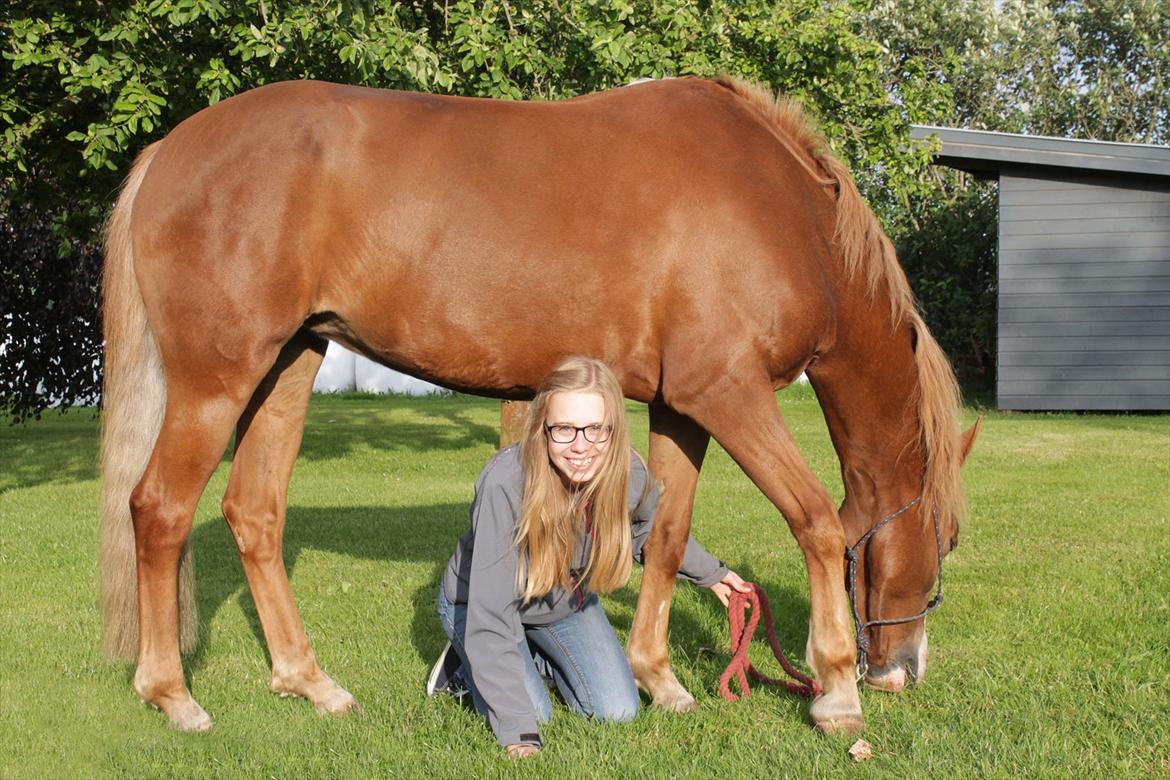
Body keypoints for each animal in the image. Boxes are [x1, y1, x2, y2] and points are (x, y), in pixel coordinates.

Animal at [98, 76, 978, 734]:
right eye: (948, 539)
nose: (904, 670)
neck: (782, 211)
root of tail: (170, 148)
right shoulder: (728, 393)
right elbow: (819, 525)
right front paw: (837, 692)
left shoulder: (684, 406)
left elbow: (666, 537)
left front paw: (659, 680)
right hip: (217, 380)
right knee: (159, 510)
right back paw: (172, 695)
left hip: (288, 364)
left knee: (253, 513)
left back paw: (308, 682)